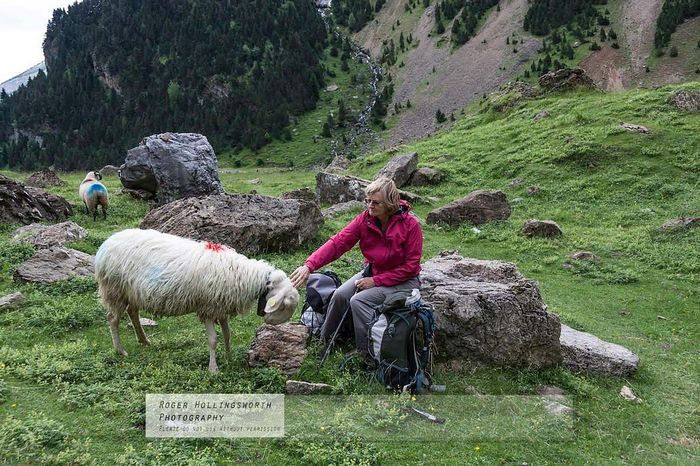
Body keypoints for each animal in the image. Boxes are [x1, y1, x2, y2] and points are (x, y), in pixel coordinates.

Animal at [95, 228, 298, 374]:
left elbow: (227, 333)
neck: (246, 276)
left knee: (133, 312)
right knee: (112, 319)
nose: (270, 322)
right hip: (114, 289)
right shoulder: (208, 307)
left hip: (132, 291)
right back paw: (120, 350)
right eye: (285, 305)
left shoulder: (220, 306)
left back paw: (144, 340)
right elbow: (213, 339)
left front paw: (229, 357)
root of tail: (105, 245)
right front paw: (214, 370)